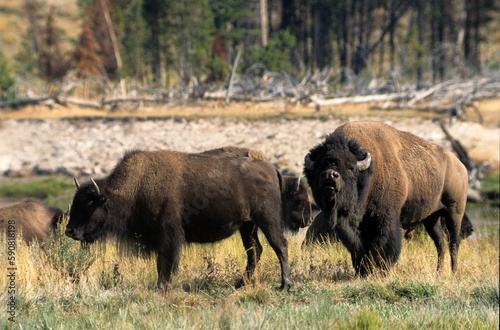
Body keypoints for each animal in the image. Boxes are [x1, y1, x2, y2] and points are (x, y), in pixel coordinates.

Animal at [66, 150, 292, 292]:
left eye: (88, 204)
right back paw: (241, 284)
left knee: (280, 245)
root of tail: (272, 169)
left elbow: (165, 263)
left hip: (267, 220)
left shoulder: (169, 236)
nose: (69, 231)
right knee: (254, 251)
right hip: (247, 226)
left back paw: (285, 285)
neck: (133, 188)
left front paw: (162, 287)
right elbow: (163, 264)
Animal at [304, 120, 468, 274]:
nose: (329, 175)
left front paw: (383, 270)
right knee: (441, 243)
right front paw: (363, 271)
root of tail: (460, 166)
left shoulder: (385, 219)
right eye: (319, 166)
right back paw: (439, 272)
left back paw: (453, 272)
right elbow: (359, 249)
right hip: (431, 218)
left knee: (454, 242)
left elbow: (383, 245)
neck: (368, 174)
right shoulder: (350, 228)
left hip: (454, 212)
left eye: (350, 167)